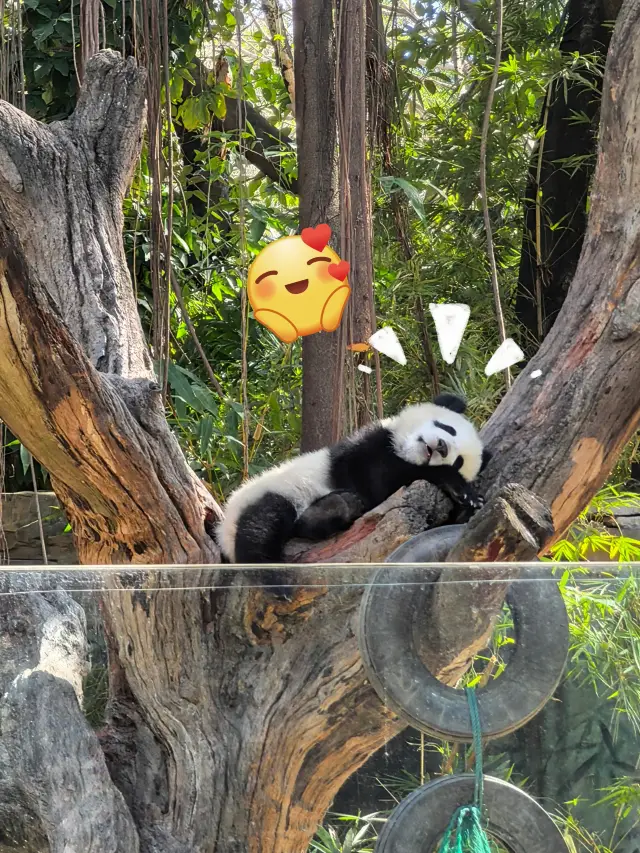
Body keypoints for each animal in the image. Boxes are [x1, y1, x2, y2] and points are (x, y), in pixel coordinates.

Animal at [217, 393, 491, 584]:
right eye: (448, 428)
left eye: (459, 461)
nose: (442, 447)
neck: (401, 449)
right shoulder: (364, 449)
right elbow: (381, 480)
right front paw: (463, 490)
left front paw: (469, 504)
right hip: (271, 492)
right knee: (262, 525)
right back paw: (273, 577)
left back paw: (336, 508)